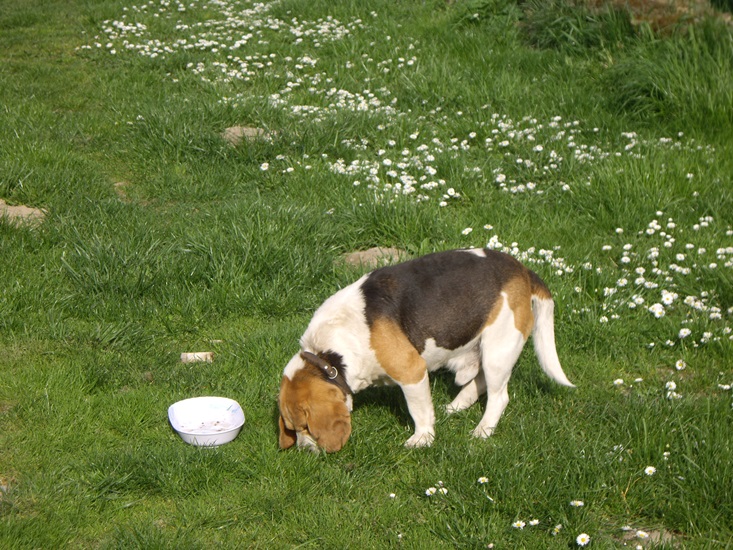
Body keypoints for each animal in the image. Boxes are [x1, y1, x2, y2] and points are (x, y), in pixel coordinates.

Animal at [278, 249, 576, 452]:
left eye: (306, 427)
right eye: (293, 429)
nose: (304, 450)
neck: (327, 354)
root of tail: (523, 270)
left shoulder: (411, 372)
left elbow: (418, 410)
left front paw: (422, 439)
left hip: (498, 349)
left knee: (499, 397)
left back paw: (482, 430)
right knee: (479, 382)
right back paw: (457, 405)